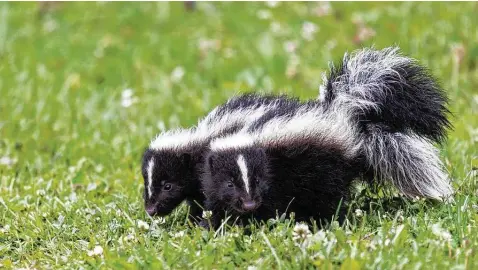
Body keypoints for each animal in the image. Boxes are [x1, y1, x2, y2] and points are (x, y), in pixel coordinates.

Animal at [201, 47, 452, 228]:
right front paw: (215, 225)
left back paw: (328, 222)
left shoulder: (278, 175)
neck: (248, 131)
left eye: (257, 181)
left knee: (329, 199)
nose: (249, 204)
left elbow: (273, 203)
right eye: (230, 183)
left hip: (327, 170)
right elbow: (215, 200)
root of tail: (343, 113)